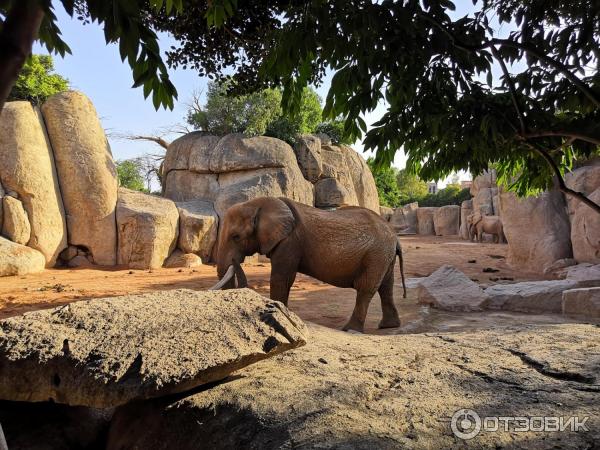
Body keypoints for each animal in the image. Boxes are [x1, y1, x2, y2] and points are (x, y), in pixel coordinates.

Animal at [211, 196, 408, 330]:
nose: (236, 261)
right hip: (383, 256)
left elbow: (281, 278)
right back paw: (388, 326)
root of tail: (395, 236)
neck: (257, 204)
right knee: (386, 286)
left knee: (366, 288)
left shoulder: (290, 241)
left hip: (376, 254)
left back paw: (350, 329)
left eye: (236, 237)